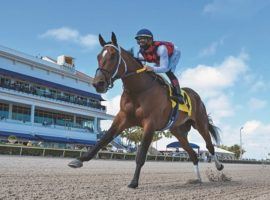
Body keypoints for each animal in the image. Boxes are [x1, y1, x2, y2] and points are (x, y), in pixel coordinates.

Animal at [69, 32, 224, 188]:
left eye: (113, 55)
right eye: (98, 56)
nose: (98, 83)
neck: (139, 90)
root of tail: (196, 95)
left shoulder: (150, 123)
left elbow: (142, 153)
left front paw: (133, 182)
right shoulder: (123, 118)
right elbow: (103, 140)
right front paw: (79, 160)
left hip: (200, 123)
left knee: (209, 146)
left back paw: (219, 167)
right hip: (178, 131)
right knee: (192, 154)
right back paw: (197, 179)